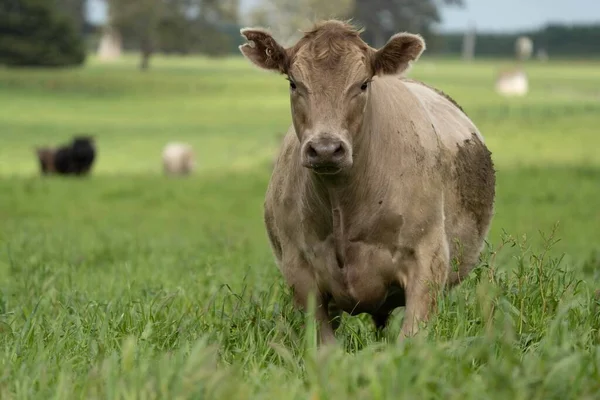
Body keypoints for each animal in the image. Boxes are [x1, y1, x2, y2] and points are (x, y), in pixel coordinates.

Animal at [239, 19, 496, 344]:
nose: (326, 148)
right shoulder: (299, 271)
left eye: (363, 84)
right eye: (294, 83)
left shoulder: (428, 262)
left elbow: (410, 339)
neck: (342, 203)